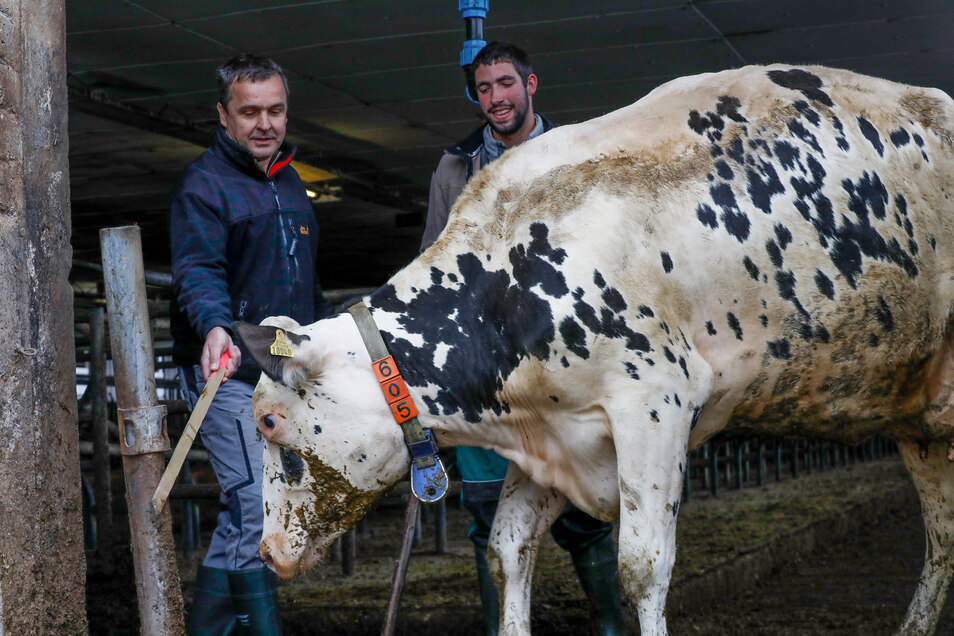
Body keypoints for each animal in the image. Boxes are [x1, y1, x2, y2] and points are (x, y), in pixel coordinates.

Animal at [234, 66, 952, 636]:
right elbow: (508, 547)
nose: (266, 553)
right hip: (921, 424)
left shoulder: (654, 404)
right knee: (942, 539)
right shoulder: (550, 432)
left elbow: (641, 567)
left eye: (269, 422)